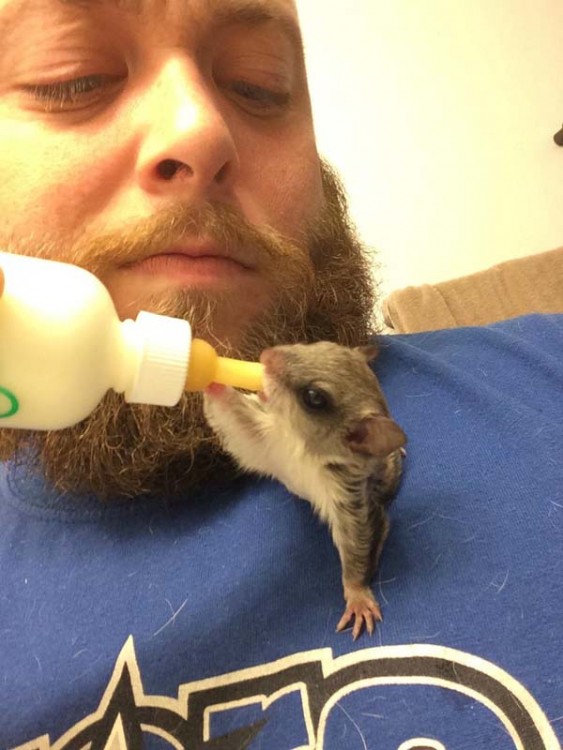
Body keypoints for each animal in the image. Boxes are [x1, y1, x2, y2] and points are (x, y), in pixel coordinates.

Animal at [205, 340, 408, 640]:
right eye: (318, 344)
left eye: (314, 397)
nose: (266, 355)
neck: (301, 446)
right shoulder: (267, 441)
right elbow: (239, 424)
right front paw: (211, 376)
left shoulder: (348, 498)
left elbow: (357, 546)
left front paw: (357, 597)